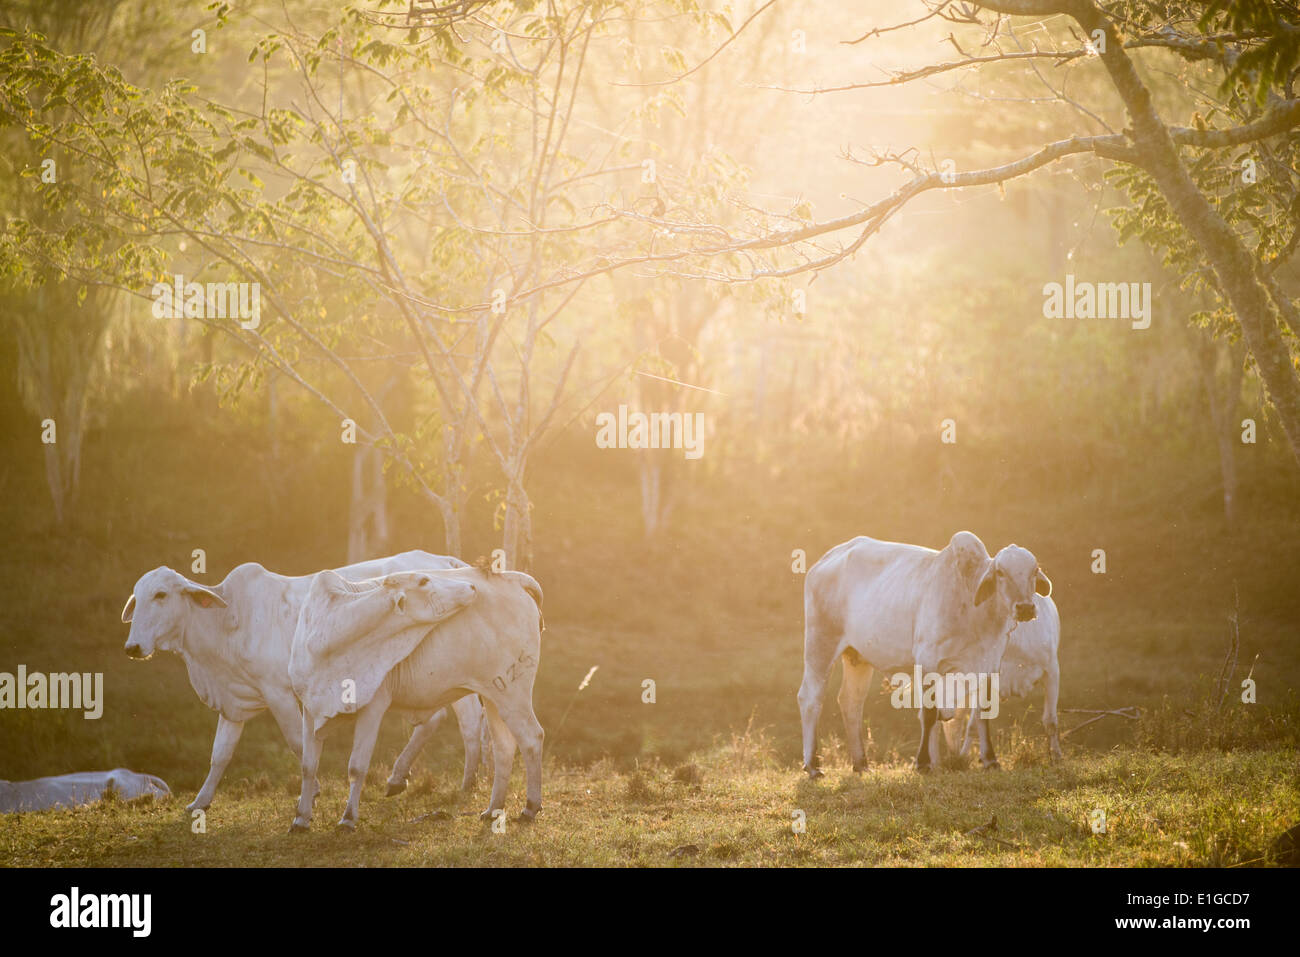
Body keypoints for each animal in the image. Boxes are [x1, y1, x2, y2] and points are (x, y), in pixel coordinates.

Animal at [115, 548, 483, 811]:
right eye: (137, 597)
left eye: (161, 595)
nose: (132, 647)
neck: (226, 620)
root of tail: (445, 561)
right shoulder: (235, 700)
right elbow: (220, 753)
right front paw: (199, 802)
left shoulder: (278, 693)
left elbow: (296, 742)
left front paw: (313, 792)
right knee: (443, 719)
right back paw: (405, 778)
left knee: (465, 722)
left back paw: (460, 783)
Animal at [289, 564, 543, 832]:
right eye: (423, 581)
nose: (471, 586)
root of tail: (511, 578)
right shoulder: (310, 709)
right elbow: (308, 766)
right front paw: (301, 819)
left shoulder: (374, 706)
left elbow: (357, 766)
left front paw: (348, 818)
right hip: (493, 695)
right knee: (504, 747)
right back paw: (493, 808)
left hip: (513, 693)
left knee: (531, 737)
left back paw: (530, 807)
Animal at [951, 595, 1060, 764]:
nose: (1025, 608)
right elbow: (973, 725)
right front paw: (965, 758)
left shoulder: (1052, 671)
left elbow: (1050, 721)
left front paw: (1056, 757)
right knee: (957, 722)